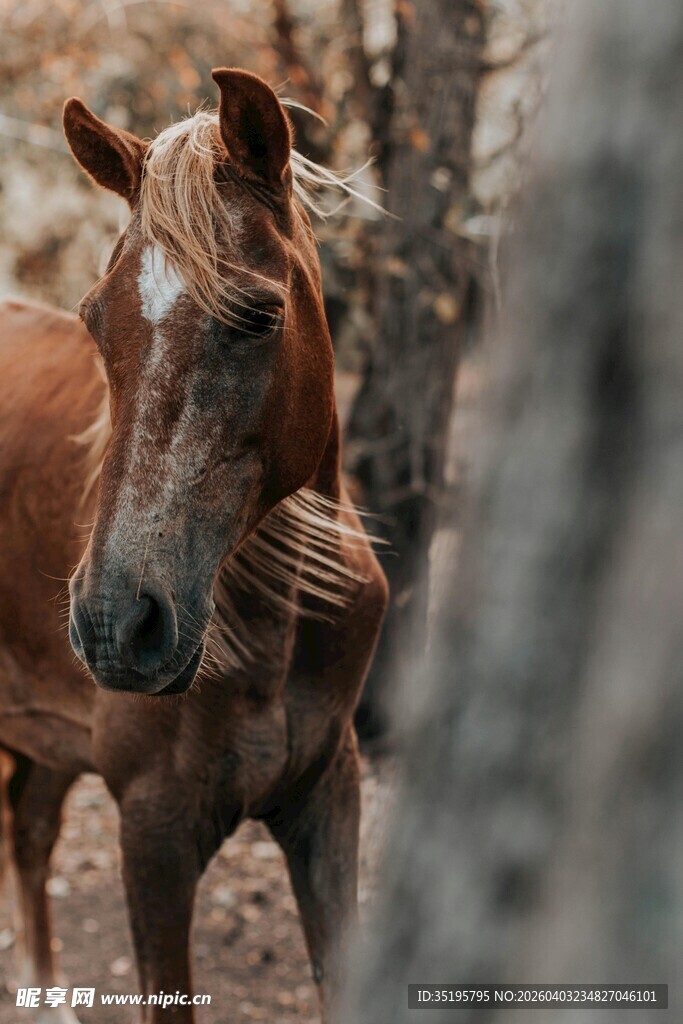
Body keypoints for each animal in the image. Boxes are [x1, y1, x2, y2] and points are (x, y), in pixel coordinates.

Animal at [0, 68, 387, 1022]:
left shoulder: (329, 799)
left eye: (257, 315)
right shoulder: (155, 834)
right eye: (94, 320)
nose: (113, 623)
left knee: (30, 830)